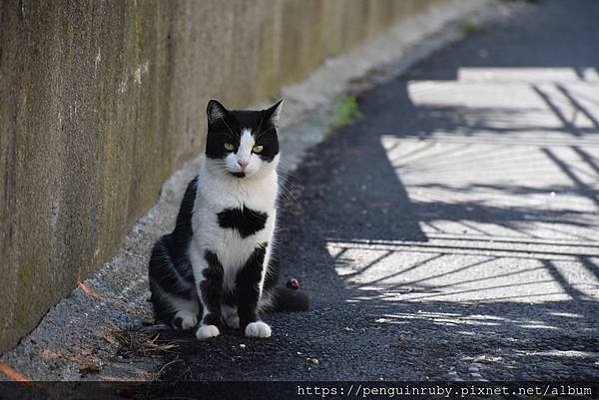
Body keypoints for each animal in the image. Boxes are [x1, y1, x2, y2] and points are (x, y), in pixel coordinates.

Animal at [149, 98, 310, 340]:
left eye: (257, 148)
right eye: (229, 146)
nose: (243, 162)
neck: (240, 199)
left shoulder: (260, 249)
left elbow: (251, 287)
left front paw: (251, 322)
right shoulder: (204, 248)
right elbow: (208, 288)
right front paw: (208, 326)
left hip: (275, 258)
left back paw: (234, 318)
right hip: (161, 252)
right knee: (173, 300)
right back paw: (186, 318)